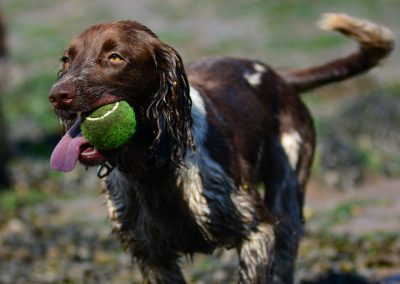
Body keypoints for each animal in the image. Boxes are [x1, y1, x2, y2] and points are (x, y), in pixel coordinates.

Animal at [48, 13, 392, 284]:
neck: (154, 170)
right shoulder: (152, 256)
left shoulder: (258, 231)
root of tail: (279, 76)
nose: (57, 95)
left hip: (288, 198)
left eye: (115, 57)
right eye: (67, 60)